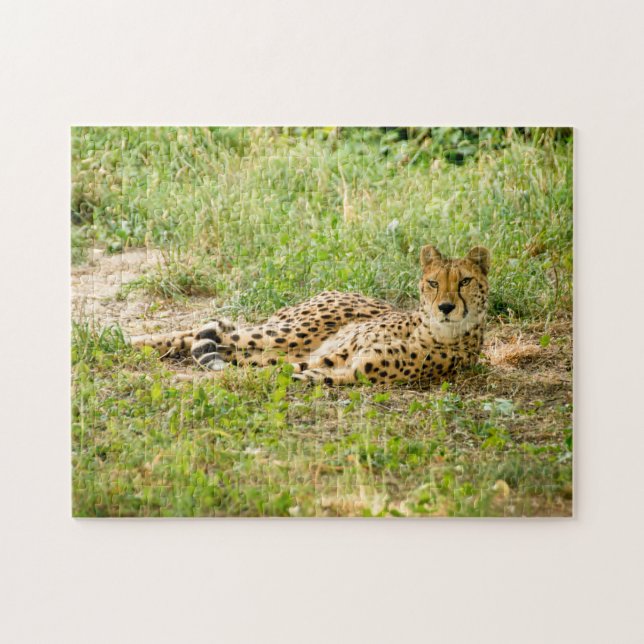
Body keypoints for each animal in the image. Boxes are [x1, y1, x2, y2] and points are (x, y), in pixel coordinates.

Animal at [130, 244, 490, 386]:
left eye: (464, 281)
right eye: (433, 282)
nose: (446, 307)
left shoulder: (343, 367)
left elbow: (271, 374)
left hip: (286, 343)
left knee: (218, 343)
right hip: (291, 331)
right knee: (205, 333)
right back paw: (130, 341)